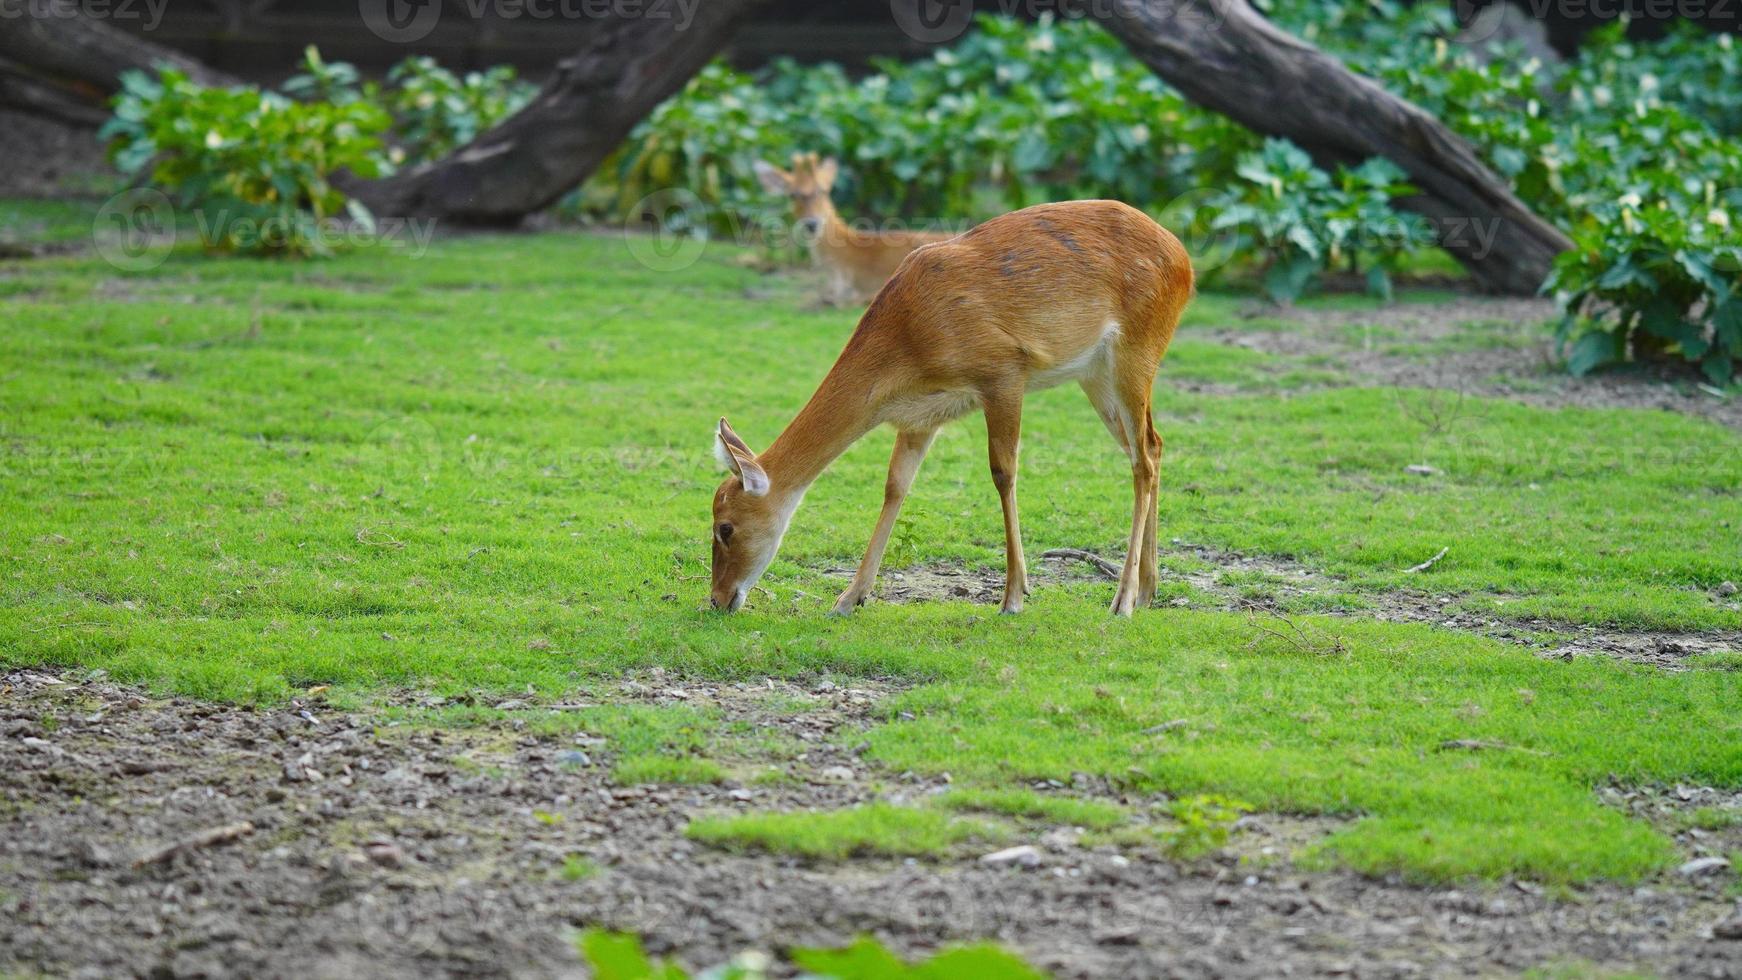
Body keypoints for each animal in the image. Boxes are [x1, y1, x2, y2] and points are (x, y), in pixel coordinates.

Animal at [707, 196, 1198, 616]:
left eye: (725, 526)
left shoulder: (1003, 375)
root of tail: (1185, 260)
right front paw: (848, 598)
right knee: (1151, 446)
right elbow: (895, 486)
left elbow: (1003, 473)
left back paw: (1123, 600)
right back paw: (1149, 589)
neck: (910, 334)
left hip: (1134, 356)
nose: (718, 599)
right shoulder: (920, 418)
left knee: (1142, 460)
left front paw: (1014, 596)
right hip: (1096, 377)